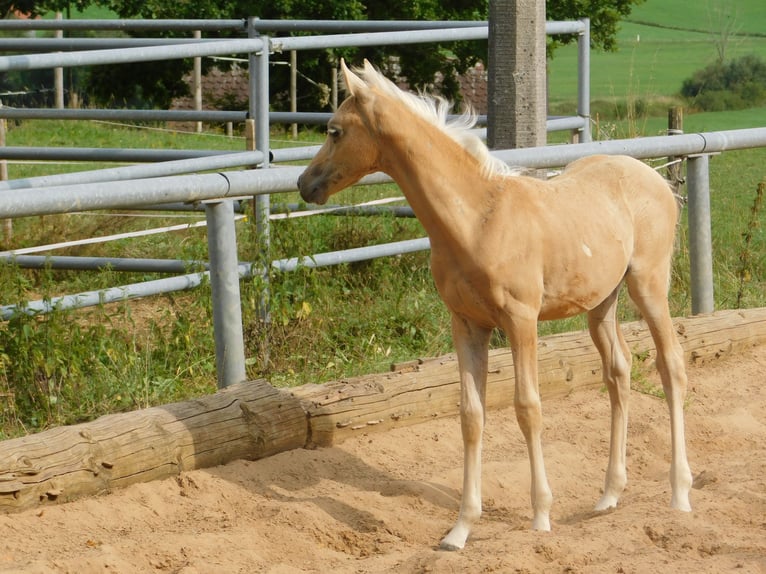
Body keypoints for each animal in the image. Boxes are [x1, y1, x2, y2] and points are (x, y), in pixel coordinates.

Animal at [300, 59, 696, 552]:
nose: (304, 184)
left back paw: (680, 494)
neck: (476, 219)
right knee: (618, 375)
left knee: (671, 365)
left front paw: (540, 517)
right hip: (601, 304)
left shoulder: (521, 321)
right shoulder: (467, 324)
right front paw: (460, 529)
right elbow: (471, 416)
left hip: (649, 286)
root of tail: (655, 177)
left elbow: (528, 408)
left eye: (334, 131)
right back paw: (609, 495)